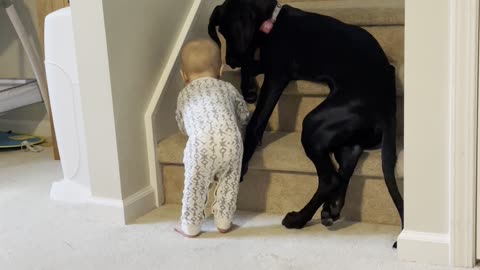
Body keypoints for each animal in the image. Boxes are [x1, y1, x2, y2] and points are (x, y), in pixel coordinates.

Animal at [208, 0, 404, 242]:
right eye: (222, 32)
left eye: (230, 29)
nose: (230, 62)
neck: (273, 20)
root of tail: (388, 106)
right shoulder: (265, 62)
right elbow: (251, 64)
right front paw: (248, 89)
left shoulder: (277, 75)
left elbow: (256, 123)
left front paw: (242, 163)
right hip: (341, 137)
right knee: (347, 163)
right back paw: (331, 208)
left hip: (313, 124)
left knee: (330, 179)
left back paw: (299, 219)